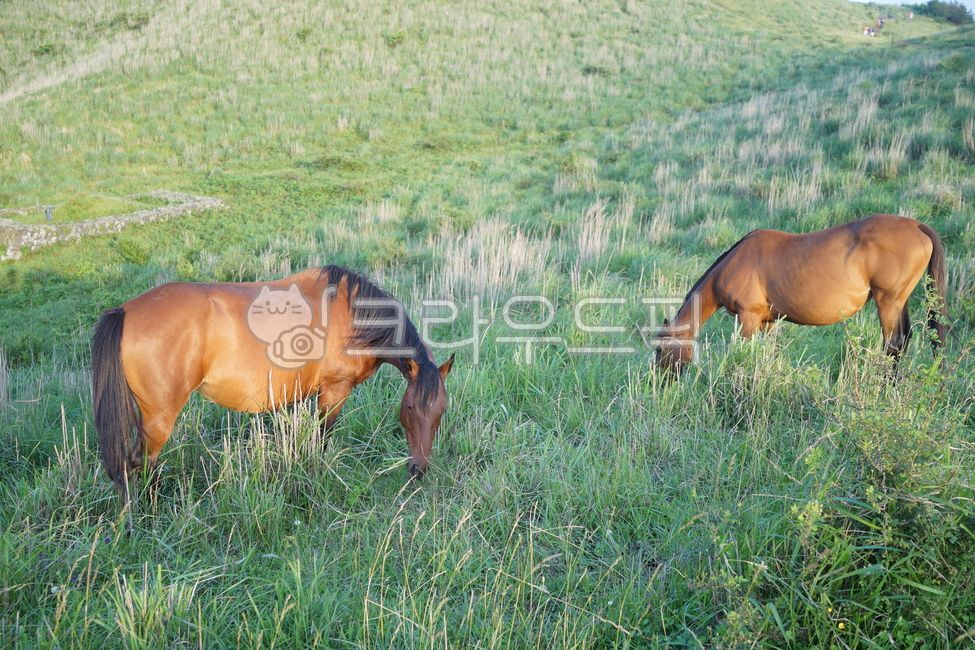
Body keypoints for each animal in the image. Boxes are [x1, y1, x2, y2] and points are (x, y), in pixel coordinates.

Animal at [91, 265, 455, 509]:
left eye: (441, 412)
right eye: (410, 408)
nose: (419, 469)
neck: (351, 315)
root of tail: (125, 311)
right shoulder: (334, 393)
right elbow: (322, 439)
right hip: (158, 419)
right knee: (139, 464)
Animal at [655, 214, 947, 372]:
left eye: (659, 350)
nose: (660, 379)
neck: (736, 262)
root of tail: (917, 226)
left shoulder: (748, 318)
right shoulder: (768, 321)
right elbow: (767, 353)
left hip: (888, 301)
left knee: (893, 344)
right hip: (899, 301)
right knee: (904, 340)